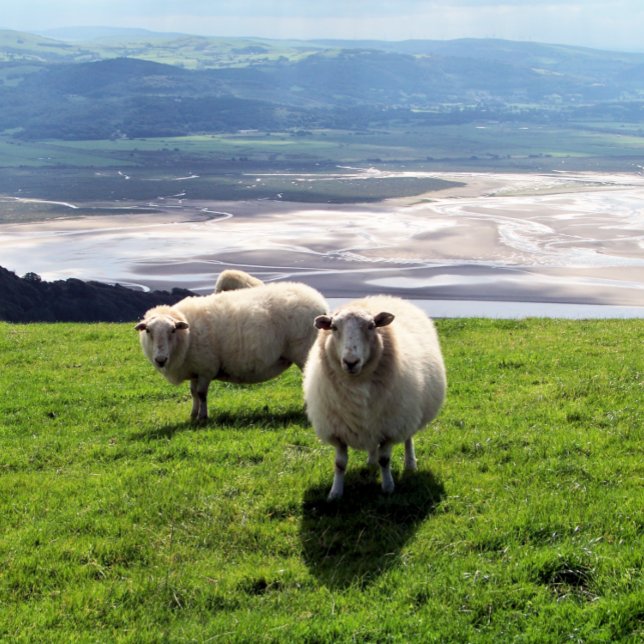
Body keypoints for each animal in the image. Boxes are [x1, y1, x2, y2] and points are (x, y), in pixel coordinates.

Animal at [135, 282, 327, 422]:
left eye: (173, 330)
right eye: (148, 331)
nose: (160, 359)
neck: (186, 336)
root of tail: (319, 300)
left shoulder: (206, 368)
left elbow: (201, 394)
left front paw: (203, 417)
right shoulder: (195, 369)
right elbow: (193, 393)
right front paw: (193, 414)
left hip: (304, 352)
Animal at [302, 295, 446, 500]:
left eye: (371, 326)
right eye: (334, 327)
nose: (351, 362)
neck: (356, 384)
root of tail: (383, 297)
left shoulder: (390, 427)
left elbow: (385, 459)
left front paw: (388, 487)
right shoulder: (337, 430)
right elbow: (340, 464)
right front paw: (335, 493)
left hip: (407, 413)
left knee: (408, 438)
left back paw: (410, 464)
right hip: (372, 421)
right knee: (371, 444)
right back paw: (371, 462)